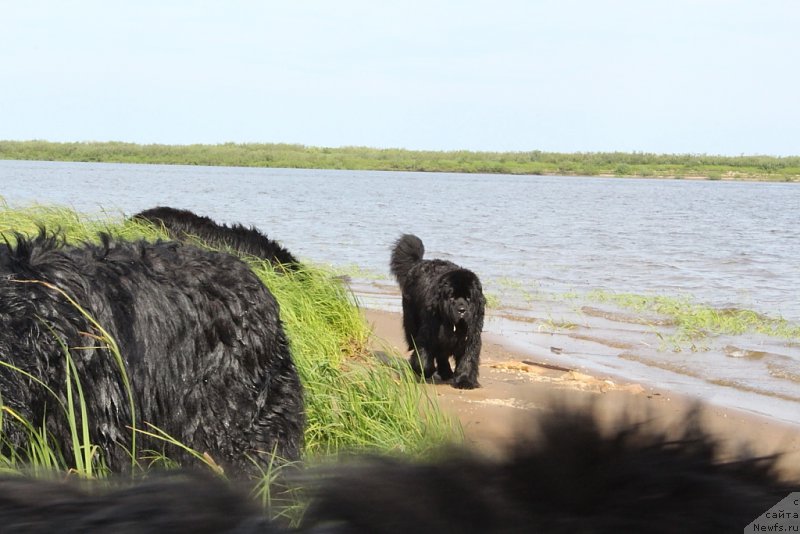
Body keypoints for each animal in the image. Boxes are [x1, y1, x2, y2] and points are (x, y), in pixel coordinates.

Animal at [390, 234, 484, 390]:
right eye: (451, 297)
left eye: (468, 298)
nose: (462, 310)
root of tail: (419, 263)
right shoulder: (428, 332)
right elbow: (423, 356)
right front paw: (424, 370)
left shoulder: (471, 335)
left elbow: (468, 358)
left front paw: (464, 381)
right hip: (411, 320)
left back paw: (446, 373)